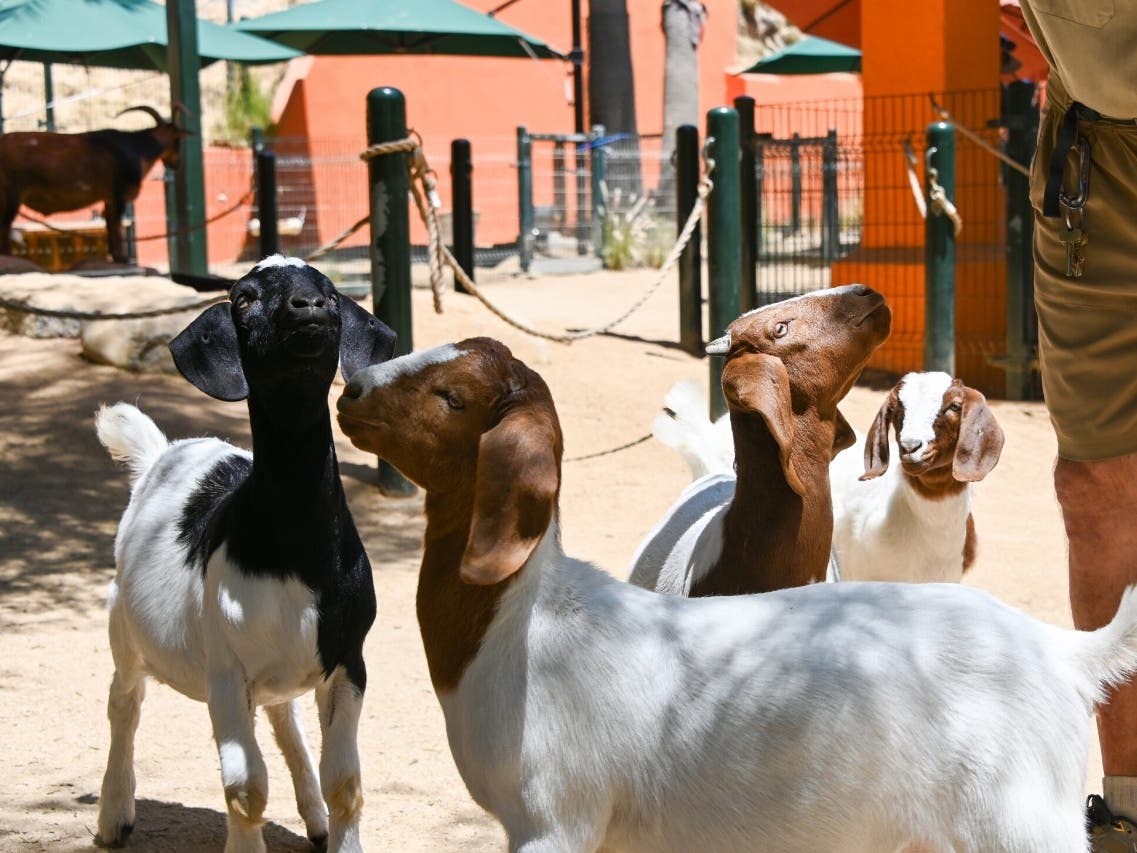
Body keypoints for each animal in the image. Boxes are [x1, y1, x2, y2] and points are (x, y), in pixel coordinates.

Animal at [0, 105, 190, 264]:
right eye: (177, 141)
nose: (177, 163)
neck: (138, 148)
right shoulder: (119, 195)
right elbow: (116, 225)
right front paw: (122, 258)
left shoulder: (109, 198)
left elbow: (110, 224)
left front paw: (115, 256)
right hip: (11, 194)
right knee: (5, 225)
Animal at [94, 255, 396, 852]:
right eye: (244, 298)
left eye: (330, 291)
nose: (310, 307)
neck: (296, 554)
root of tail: (162, 452)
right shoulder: (225, 672)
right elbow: (245, 789)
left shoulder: (348, 660)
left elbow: (345, 782)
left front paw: (333, 822)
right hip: (124, 624)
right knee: (123, 703)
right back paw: (114, 816)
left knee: (285, 721)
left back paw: (315, 819)